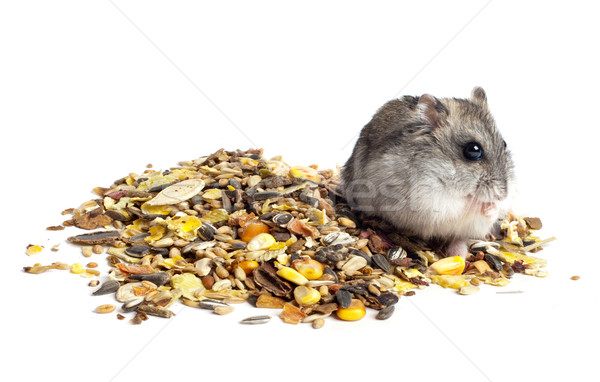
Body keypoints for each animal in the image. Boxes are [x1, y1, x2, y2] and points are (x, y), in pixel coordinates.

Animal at [342, 88, 516, 258]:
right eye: (473, 150)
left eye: (504, 144)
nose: (502, 195)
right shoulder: (427, 199)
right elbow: (459, 205)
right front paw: (480, 203)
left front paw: (492, 207)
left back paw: (458, 255)